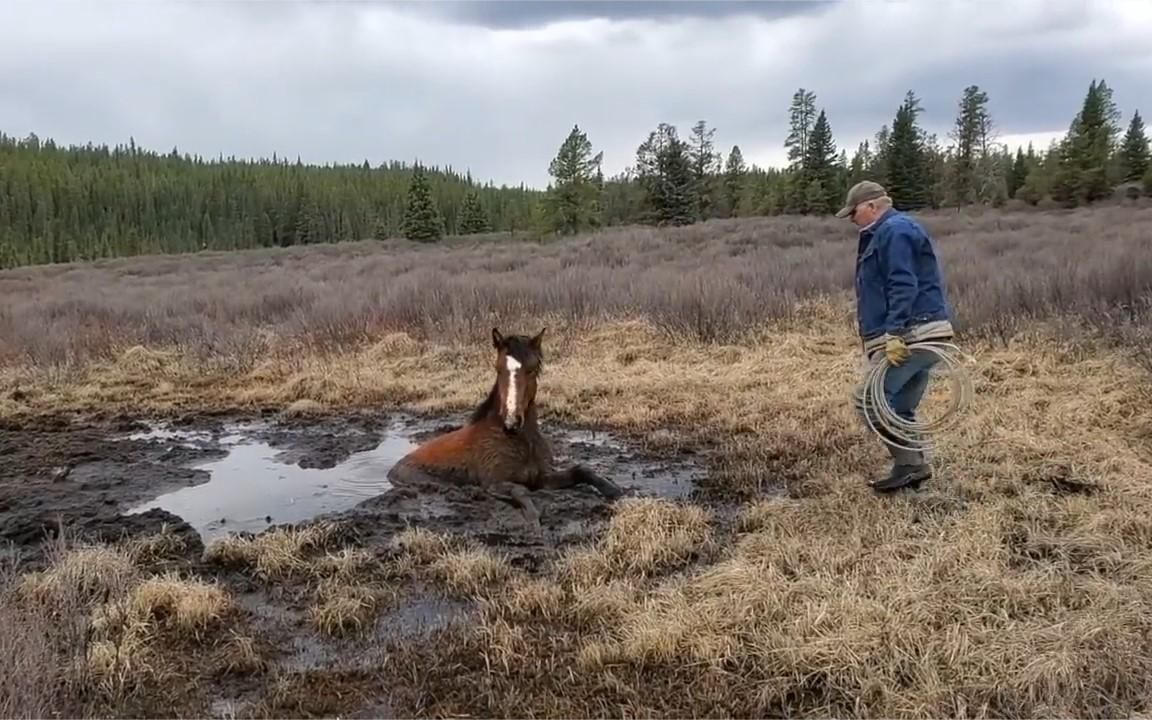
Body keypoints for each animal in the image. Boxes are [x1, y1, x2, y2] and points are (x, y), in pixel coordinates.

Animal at [384, 324, 622, 527]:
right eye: (498, 369)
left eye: (532, 369)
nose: (512, 421)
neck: (519, 441)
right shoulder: (497, 482)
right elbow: (520, 491)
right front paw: (532, 518)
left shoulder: (543, 477)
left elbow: (581, 471)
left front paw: (616, 491)